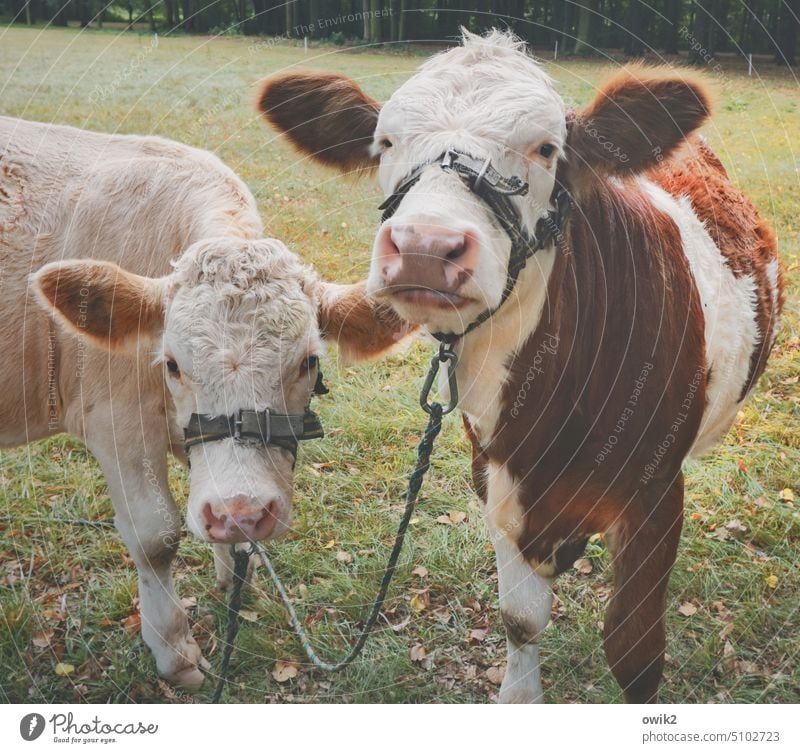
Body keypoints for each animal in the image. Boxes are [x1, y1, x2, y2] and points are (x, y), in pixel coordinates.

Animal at [0, 114, 410, 684]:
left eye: (309, 361)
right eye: (171, 363)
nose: (240, 513)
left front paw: (237, 573)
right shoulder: (116, 421)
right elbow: (156, 536)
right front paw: (175, 651)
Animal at [260, 29, 784, 700]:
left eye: (545, 148)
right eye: (386, 142)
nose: (425, 248)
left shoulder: (657, 491)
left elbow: (634, 654)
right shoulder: (495, 478)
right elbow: (520, 619)